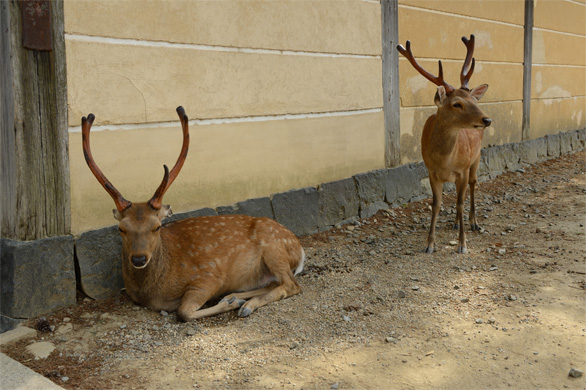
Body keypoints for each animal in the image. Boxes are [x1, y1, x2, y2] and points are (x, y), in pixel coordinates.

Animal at [81, 106, 306, 320]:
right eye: (121, 228)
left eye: (157, 226)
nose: (138, 259)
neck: (154, 293)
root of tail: (300, 250)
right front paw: (230, 300)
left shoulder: (208, 276)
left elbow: (183, 312)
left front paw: (230, 304)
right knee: (275, 283)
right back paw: (236, 297)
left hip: (273, 246)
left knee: (292, 285)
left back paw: (245, 305)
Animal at [396, 35, 488, 254]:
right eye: (457, 104)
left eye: (474, 100)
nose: (487, 120)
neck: (445, 160)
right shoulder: (432, 172)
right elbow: (436, 203)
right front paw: (429, 244)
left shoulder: (462, 169)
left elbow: (460, 202)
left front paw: (462, 244)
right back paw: (455, 223)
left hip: (476, 156)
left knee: (473, 184)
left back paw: (474, 222)